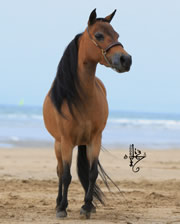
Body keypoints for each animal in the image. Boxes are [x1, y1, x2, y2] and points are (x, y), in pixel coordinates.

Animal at [43, 8, 131, 219]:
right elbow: (66, 176)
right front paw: (62, 208)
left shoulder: (94, 140)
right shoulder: (66, 142)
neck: (80, 97)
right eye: (99, 35)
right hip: (58, 145)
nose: (126, 60)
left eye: (117, 35)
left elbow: (92, 174)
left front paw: (87, 206)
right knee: (60, 172)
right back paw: (58, 203)